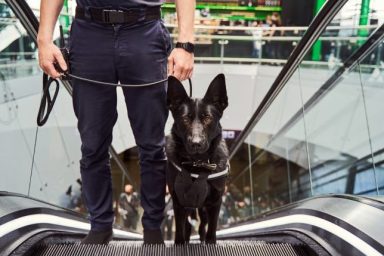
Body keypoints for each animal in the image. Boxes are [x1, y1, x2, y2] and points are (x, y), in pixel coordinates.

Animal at [166, 72, 230, 244]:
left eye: (207, 117)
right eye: (185, 119)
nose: (196, 143)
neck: (197, 162)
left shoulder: (215, 202)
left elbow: (211, 231)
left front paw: (209, 242)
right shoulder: (179, 202)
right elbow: (180, 232)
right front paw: (180, 243)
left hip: (203, 209)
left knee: (202, 227)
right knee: (188, 227)